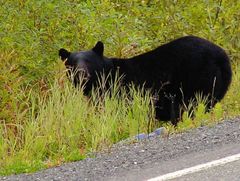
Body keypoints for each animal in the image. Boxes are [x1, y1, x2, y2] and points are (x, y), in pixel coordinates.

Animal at [59, 36, 232, 125]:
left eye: (88, 61)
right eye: (72, 63)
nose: (82, 74)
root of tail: (221, 55)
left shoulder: (121, 90)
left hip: (196, 77)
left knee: (195, 102)